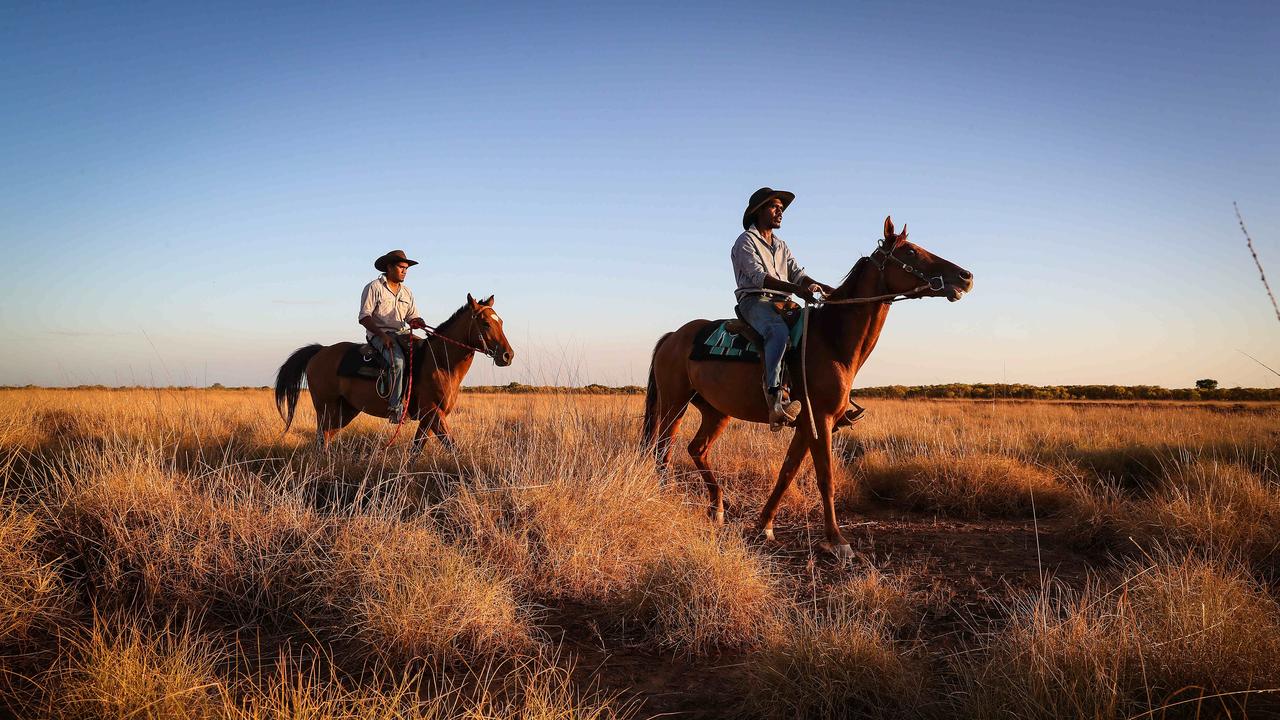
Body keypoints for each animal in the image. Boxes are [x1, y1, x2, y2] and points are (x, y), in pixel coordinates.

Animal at [272, 292, 512, 448]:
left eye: (500, 321)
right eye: (485, 323)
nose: (507, 355)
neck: (441, 363)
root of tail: (320, 351)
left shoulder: (428, 417)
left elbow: (416, 448)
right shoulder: (433, 412)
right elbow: (451, 446)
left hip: (345, 410)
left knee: (327, 437)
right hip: (325, 407)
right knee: (321, 438)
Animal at [645, 215, 972, 558]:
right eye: (909, 251)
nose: (965, 277)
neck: (831, 339)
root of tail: (674, 336)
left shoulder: (805, 424)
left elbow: (787, 473)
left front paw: (764, 526)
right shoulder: (821, 421)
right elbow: (825, 478)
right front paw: (837, 541)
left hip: (715, 411)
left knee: (696, 449)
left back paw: (717, 507)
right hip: (674, 403)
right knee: (662, 449)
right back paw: (666, 497)